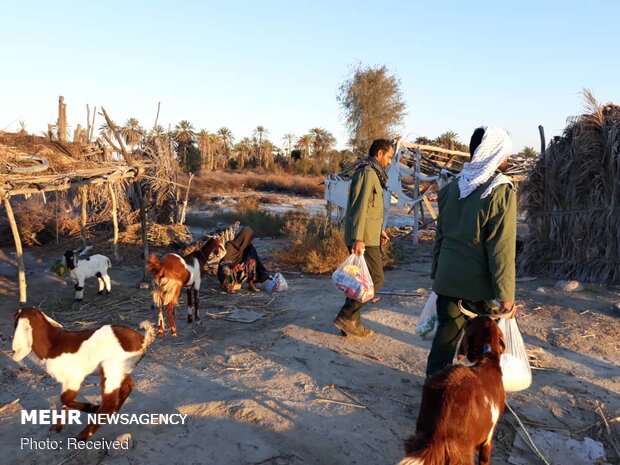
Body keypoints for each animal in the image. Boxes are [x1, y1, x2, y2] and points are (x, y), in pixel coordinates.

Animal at [12, 306, 155, 440]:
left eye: (15, 317)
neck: (52, 344)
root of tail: (142, 341)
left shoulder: (73, 378)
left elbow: (64, 398)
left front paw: (91, 407)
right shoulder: (66, 381)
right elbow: (64, 401)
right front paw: (57, 427)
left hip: (111, 368)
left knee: (109, 403)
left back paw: (83, 435)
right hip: (121, 369)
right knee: (128, 386)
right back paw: (114, 412)